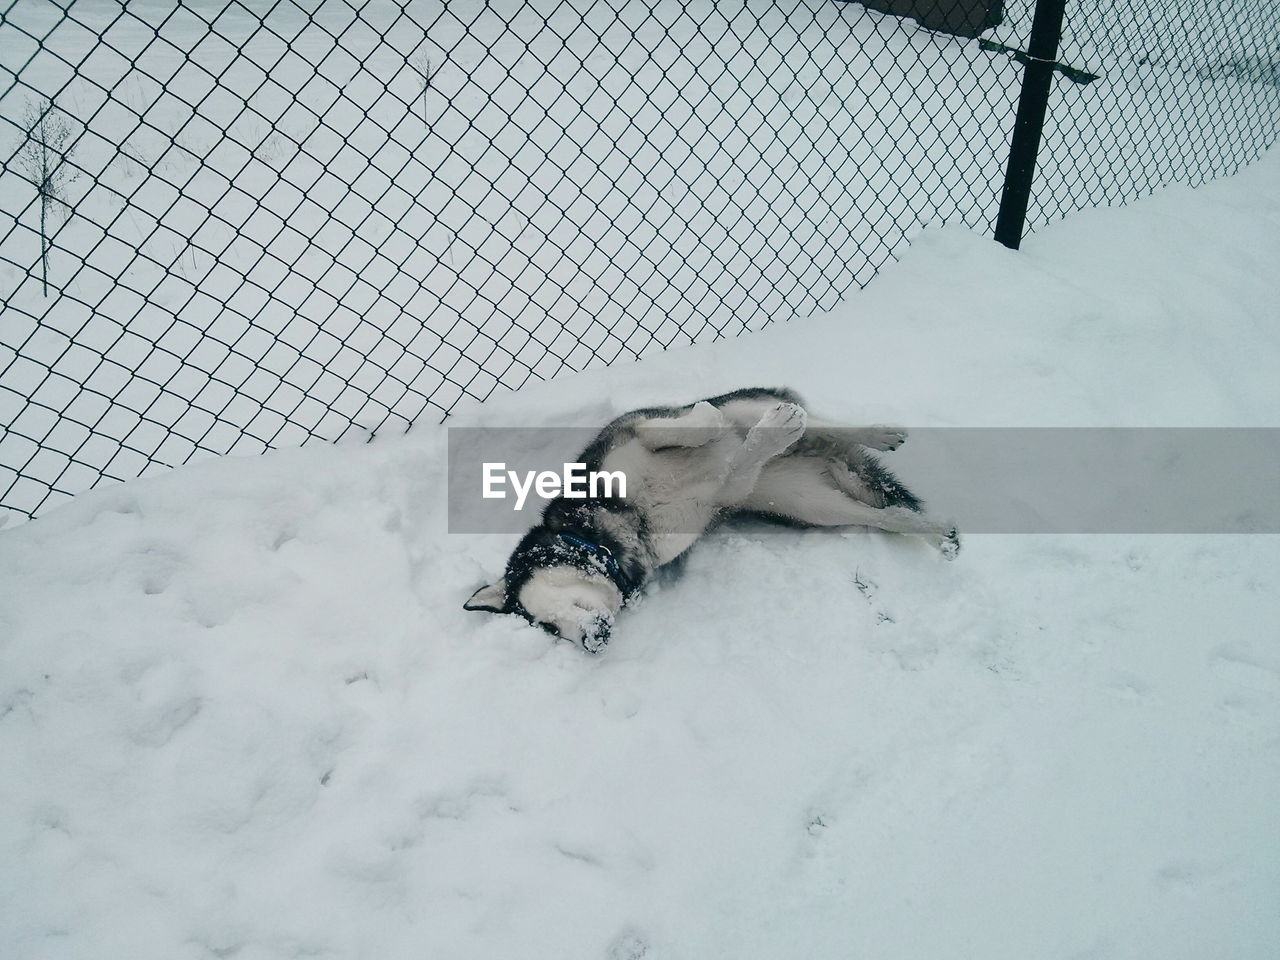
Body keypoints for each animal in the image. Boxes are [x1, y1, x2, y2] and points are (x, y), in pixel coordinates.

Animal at [465, 389, 957, 655]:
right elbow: (735, 470)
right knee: (883, 514)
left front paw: (717, 421)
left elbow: (699, 423)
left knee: (815, 424)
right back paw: (935, 533)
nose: (589, 644)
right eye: (548, 630)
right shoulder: (718, 498)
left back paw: (877, 432)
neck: (604, 528)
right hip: (808, 502)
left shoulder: (640, 430)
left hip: (755, 412)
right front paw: (757, 445)